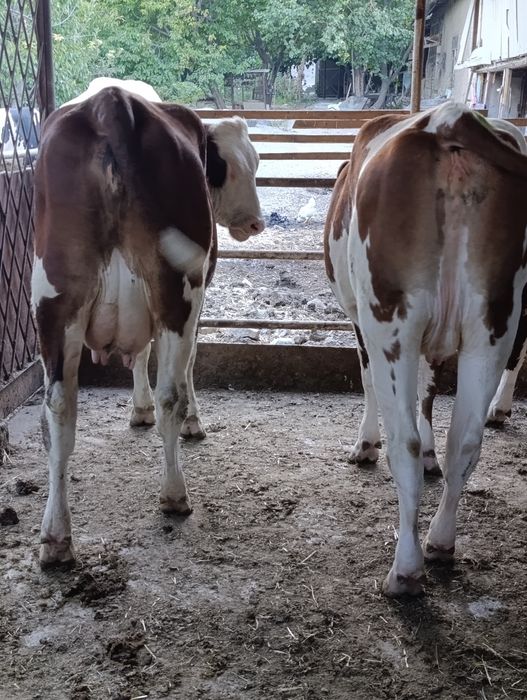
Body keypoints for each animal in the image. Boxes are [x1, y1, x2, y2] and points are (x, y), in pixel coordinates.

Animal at [32, 84, 264, 567]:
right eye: (238, 167)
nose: (256, 222)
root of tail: (111, 102)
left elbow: (137, 354)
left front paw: (136, 409)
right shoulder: (195, 297)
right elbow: (185, 365)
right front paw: (194, 421)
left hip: (53, 302)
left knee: (59, 411)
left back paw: (56, 535)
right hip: (175, 292)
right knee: (170, 394)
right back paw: (175, 493)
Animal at [324, 103, 527, 596]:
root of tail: (450, 118)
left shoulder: (360, 317)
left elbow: (368, 380)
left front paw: (364, 444)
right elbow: (432, 393)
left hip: (390, 320)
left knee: (406, 446)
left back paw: (405, 568)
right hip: (493, 325)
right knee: (466, 441)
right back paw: (441, 541)